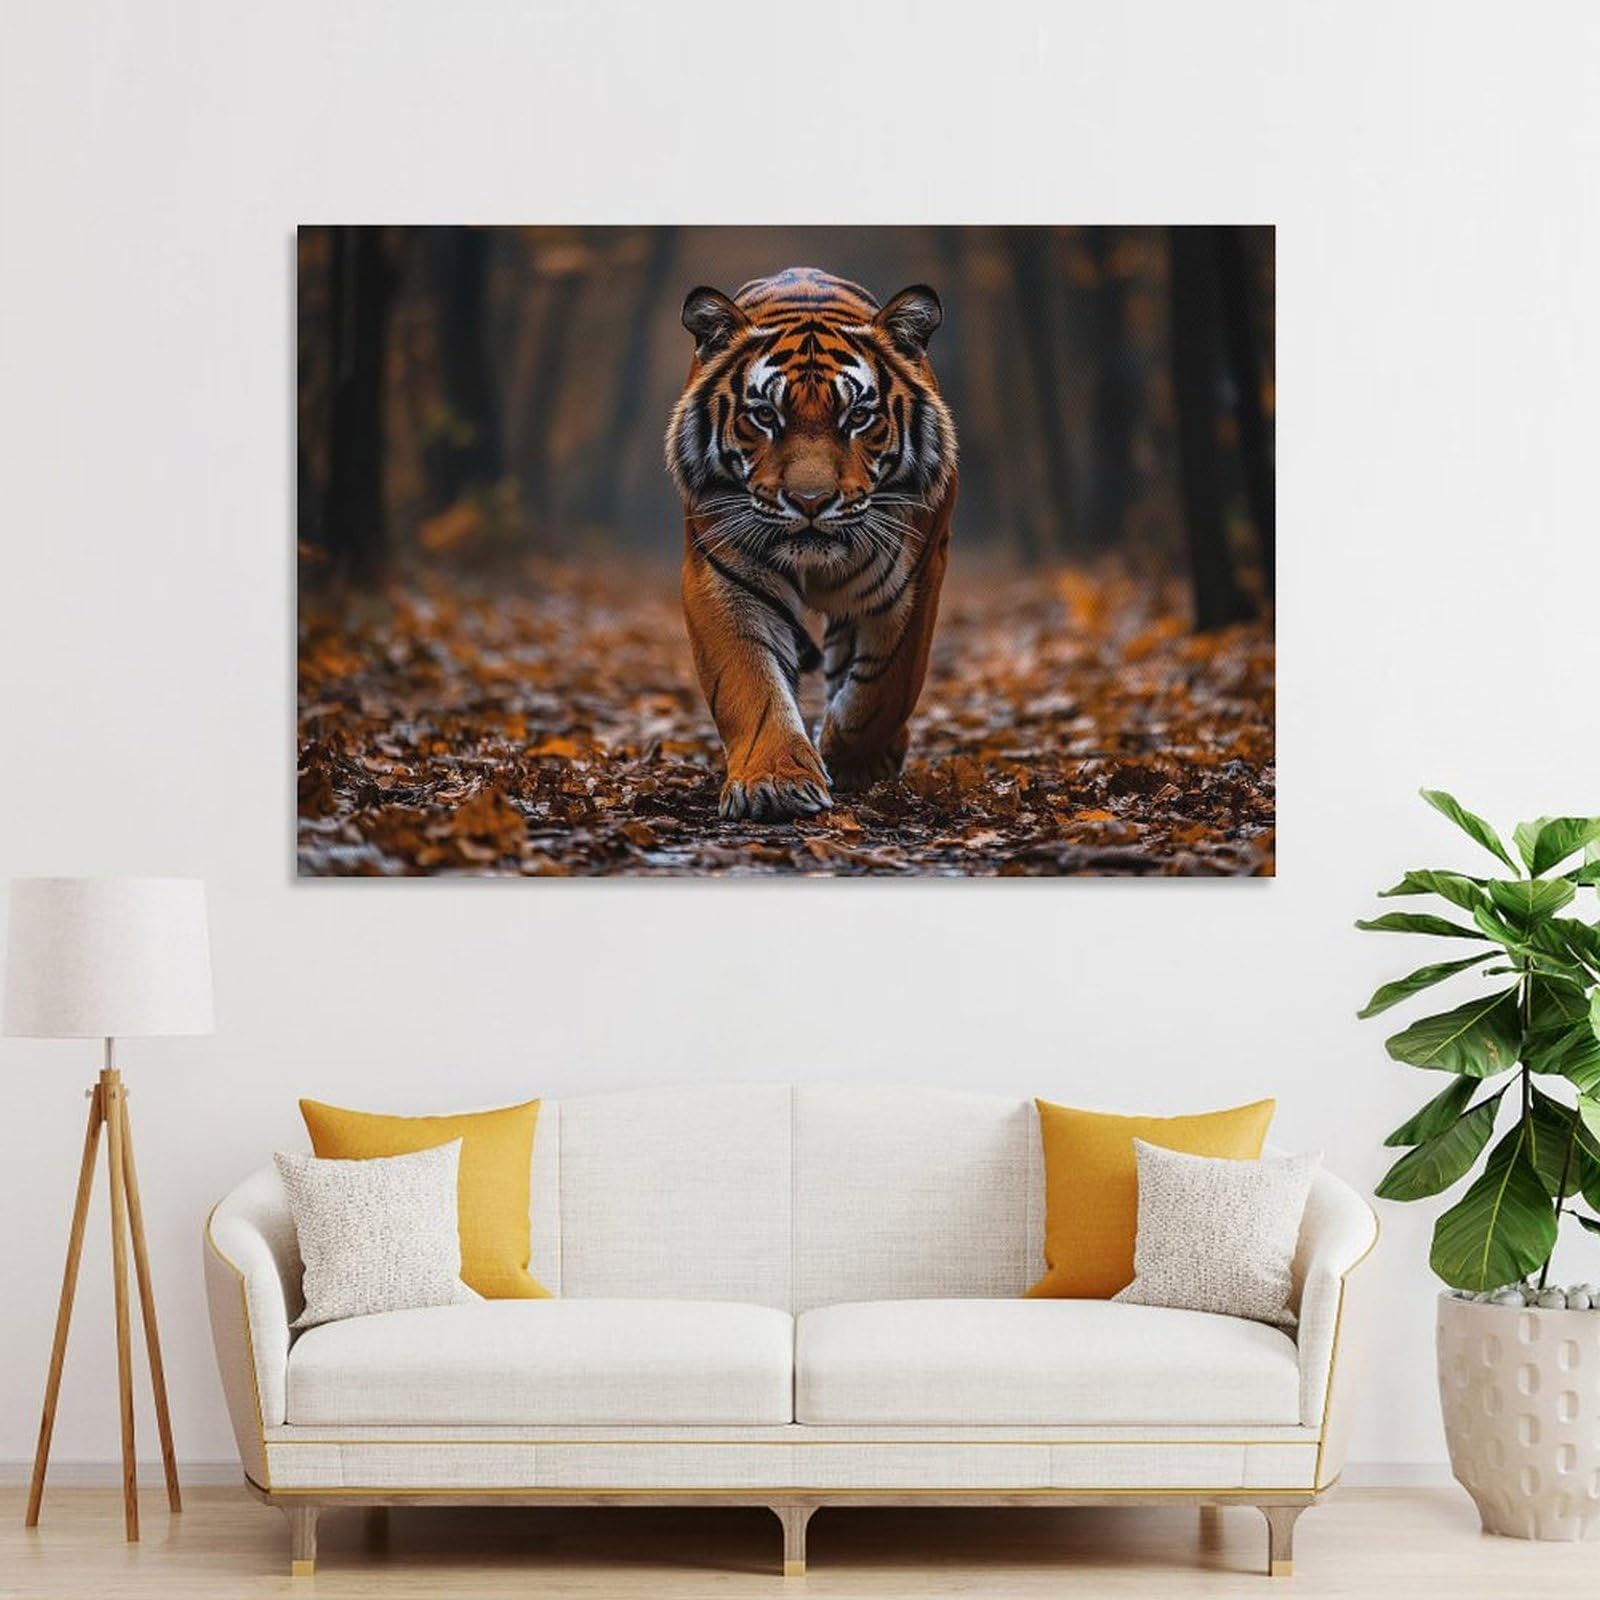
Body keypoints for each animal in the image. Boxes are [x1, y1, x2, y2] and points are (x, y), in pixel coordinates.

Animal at [664, 266, 958, 821]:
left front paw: (851, 757)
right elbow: (751, 681)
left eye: (858, 417)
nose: (810, 501)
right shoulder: (724, 575)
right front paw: (776, 783)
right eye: (764, 415)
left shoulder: (917, 574)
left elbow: (886, 687)